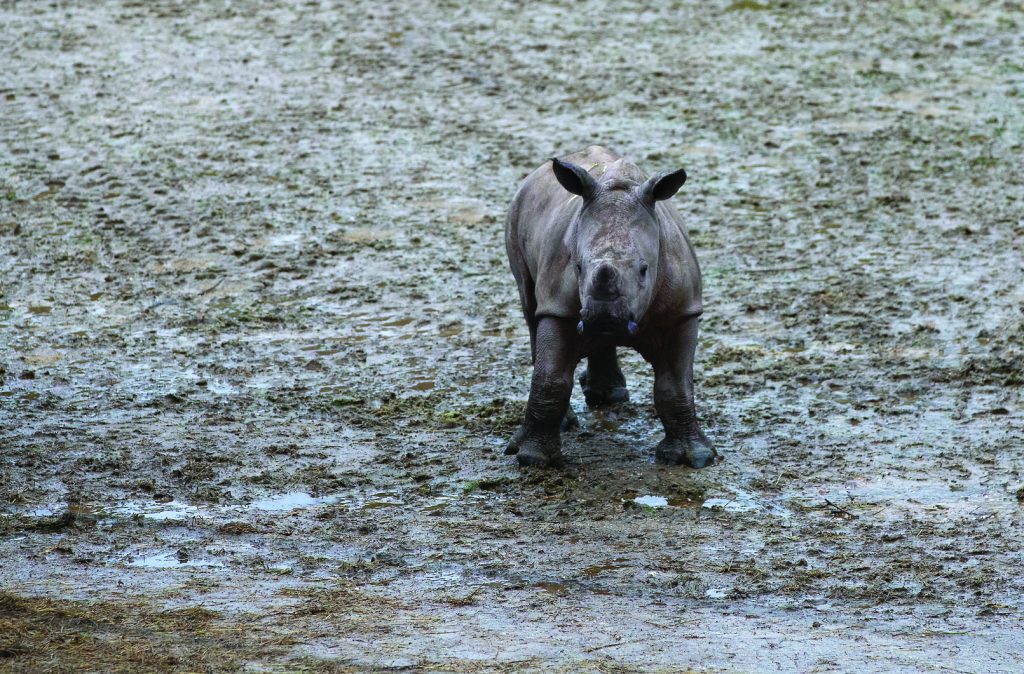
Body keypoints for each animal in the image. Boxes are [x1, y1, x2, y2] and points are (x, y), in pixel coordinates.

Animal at [504, 145, 714, 468]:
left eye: (644, 270)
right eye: (577, 267)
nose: (604, 317)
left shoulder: (682, 312)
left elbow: (676, 385)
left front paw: (697, 458)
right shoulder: (559, 308)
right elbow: (550, 378)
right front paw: (532, 458)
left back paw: (609, 397)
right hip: (517, 214)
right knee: (530, 310)